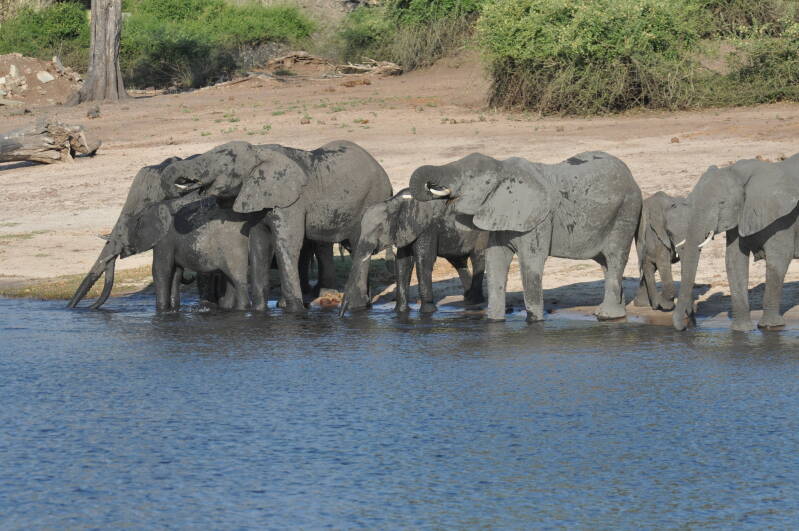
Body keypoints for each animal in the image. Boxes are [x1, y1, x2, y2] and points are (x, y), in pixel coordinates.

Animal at [166, 140, 393, 312]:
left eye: (224, 163)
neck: (258, 151)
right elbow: (259, 247)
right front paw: (259, 311)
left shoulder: (292, 202)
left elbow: (286, 245)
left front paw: (294, 311)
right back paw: (364, 304)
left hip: (371, 199)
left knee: (359, 245)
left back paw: (356, 307)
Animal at [340, 188, 487, 315]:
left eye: (379, 229)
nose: (341, 315)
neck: (395, 202)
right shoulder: (405, 230)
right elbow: (403, 263)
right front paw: (401, 312)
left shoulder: (427, 228)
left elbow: (423, 260)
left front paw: (428, 312)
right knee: (458, 262)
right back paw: (468, 298)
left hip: (480, 231)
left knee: (477, 258)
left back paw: (475, 301)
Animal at [409, 152, 642, 322]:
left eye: (470, 178)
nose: (432, 186)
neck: (502, 167)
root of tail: (631, 176)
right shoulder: (499, 214)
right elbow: (495, 262)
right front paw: (494, 321)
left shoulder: (538, 219)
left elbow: (531, 262)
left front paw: (534, 322)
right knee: (604, 262)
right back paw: (614, 312)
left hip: (626, 211)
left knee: (614, 257)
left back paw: (607, 316)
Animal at [672, 155, 799, 331]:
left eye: (722, 203)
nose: (685, 326)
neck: (739, 173)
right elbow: (734, 260)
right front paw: (742, 330)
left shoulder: (780, 216)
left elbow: (778, 260)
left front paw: (771, 327)